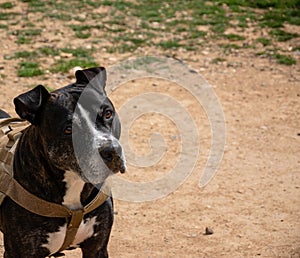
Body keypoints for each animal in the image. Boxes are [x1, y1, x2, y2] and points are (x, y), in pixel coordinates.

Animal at [0, 67, 125, 256]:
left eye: (108, 114)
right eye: (68, 129)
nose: (111, 150)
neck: (74, 181)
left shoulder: (97, 247)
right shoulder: (20, 252)